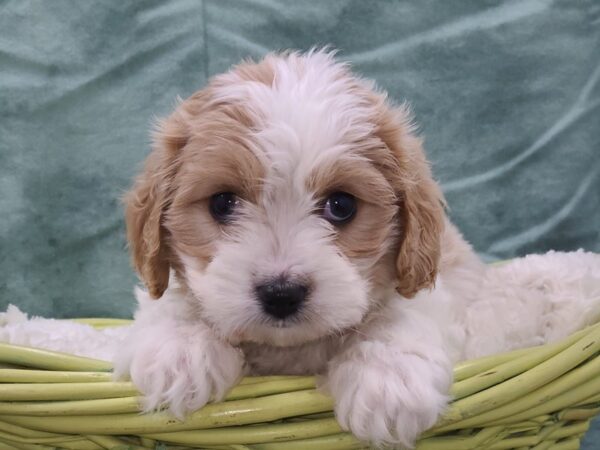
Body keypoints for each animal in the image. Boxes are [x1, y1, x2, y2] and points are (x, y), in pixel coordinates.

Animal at [113, 50, 600, 446]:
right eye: (222, 203)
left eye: (341, 206)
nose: (281, 293)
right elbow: (173, 301)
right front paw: (180, 351)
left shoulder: (430, 288)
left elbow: (397, 313)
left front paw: (388, 381)